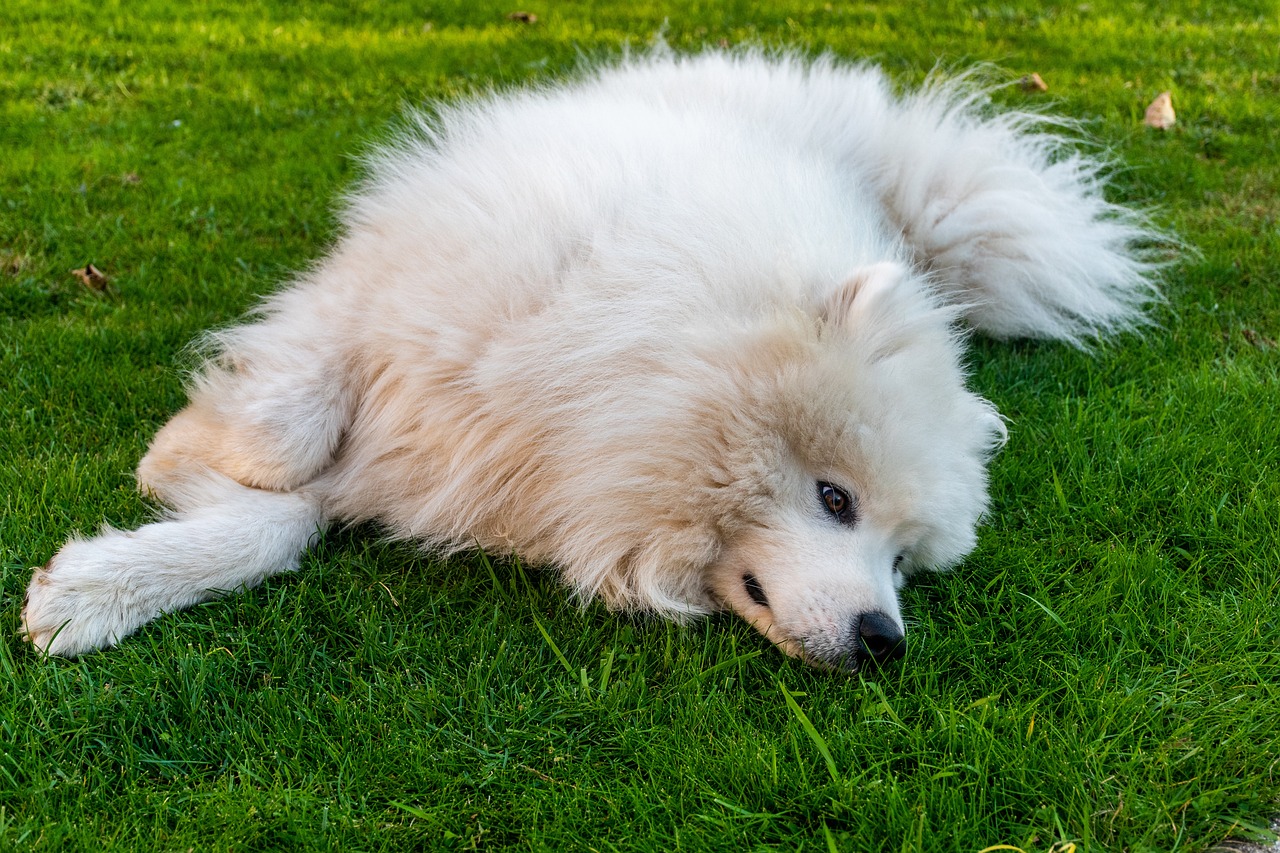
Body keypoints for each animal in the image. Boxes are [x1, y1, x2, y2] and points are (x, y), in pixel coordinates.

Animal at [20, 49, 1162, 666]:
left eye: (903, 560)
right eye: (836, 499)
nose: (886, 638)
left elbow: (283, 524)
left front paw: (102, 580)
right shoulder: (386, 299)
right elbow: (280, 454)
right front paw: (182, 482)